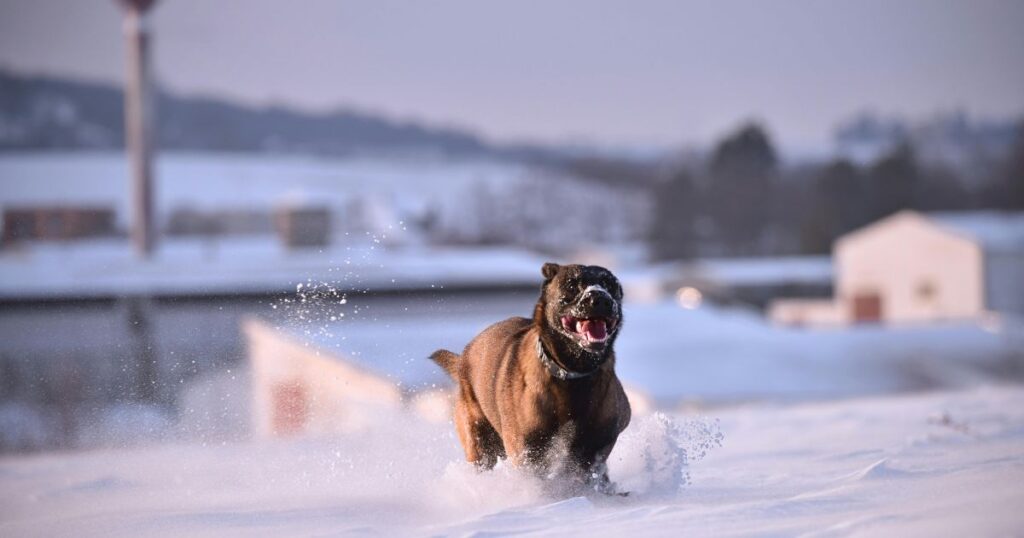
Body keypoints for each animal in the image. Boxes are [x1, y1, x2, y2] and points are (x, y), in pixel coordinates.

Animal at [428, 262, 626, 487]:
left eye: (609, 285)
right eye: (571, 285)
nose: (600, 298)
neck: (572, 375)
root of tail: (463, 358)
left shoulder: (597, 444)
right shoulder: (527, 450)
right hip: (480, 441)